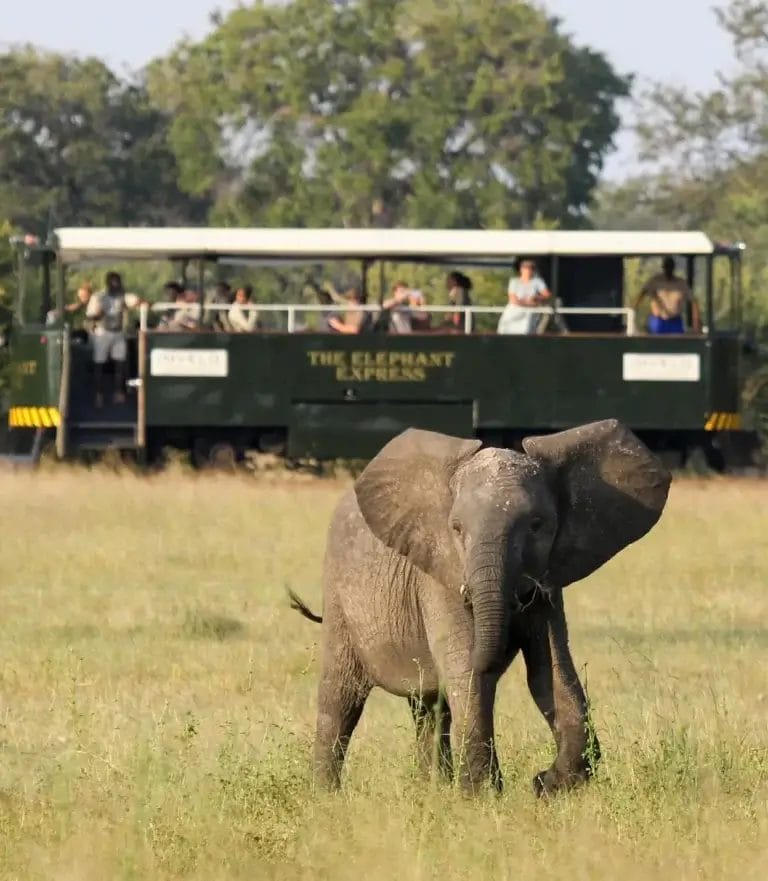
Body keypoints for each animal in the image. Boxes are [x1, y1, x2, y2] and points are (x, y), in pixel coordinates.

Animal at [289, 419, 671, 796]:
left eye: (537, 526)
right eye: (456, 528)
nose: (537, 778)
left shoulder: (549, 581)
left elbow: (550, 671)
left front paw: (550, 786)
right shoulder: (441, 575)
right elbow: (465, 669)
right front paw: (483, 794)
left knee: (430, 706)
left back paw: (432, 789)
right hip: (339, 597)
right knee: (342, 696)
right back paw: (327, 795)